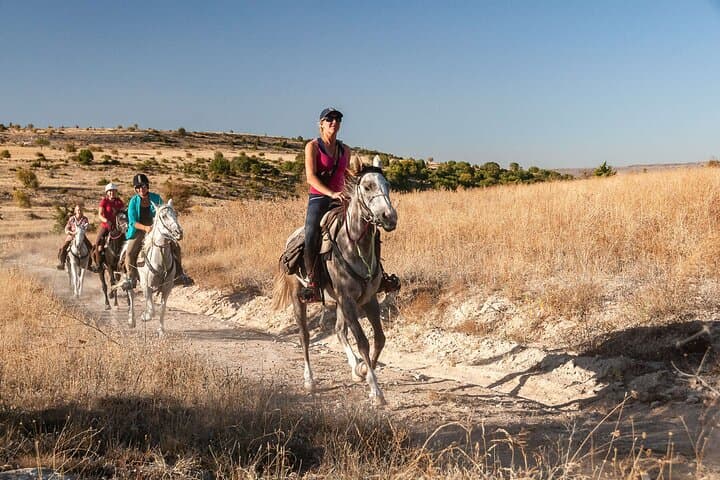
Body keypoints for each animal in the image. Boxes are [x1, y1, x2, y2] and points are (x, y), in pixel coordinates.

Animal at [128, 200, 183, 336]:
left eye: (175, 214)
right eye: (163, 216)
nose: (179, 233)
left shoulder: (167, 288)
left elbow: (162, 308)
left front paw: (161, 330)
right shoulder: (146, 285)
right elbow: (151, 309)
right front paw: (145, 316)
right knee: (131, 294)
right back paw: (132, 320)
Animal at [272, 156, 398, 406]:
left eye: (387, 185)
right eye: (367, 186)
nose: (389, 217)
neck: (355, 245)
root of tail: (291, 238)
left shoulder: (368, 299)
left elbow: (379, 339)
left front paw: (363, 372)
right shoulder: (348, 299)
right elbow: (363, 341)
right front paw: (376, 390)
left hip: (339, 301)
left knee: (340, 330)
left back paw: (355, 368)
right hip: (299, 299)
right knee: (305, 336)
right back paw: (309, 380)